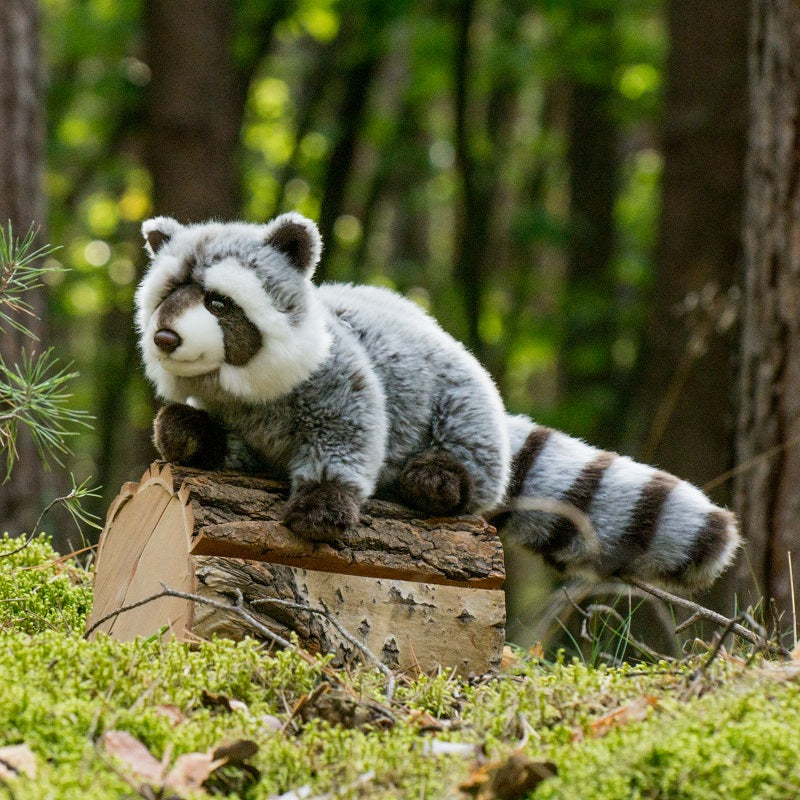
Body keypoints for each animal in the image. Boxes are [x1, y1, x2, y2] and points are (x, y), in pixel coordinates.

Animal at [135, 212, 740, 589]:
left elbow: (352, 431)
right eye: (168, 296)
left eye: (218, 303)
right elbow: (227, 444)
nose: (164, 337)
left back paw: (444, 477)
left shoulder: (340, 375)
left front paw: (327, 496)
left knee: (471, 444)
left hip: (463, 394)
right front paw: (190, 432)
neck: (239, 383)